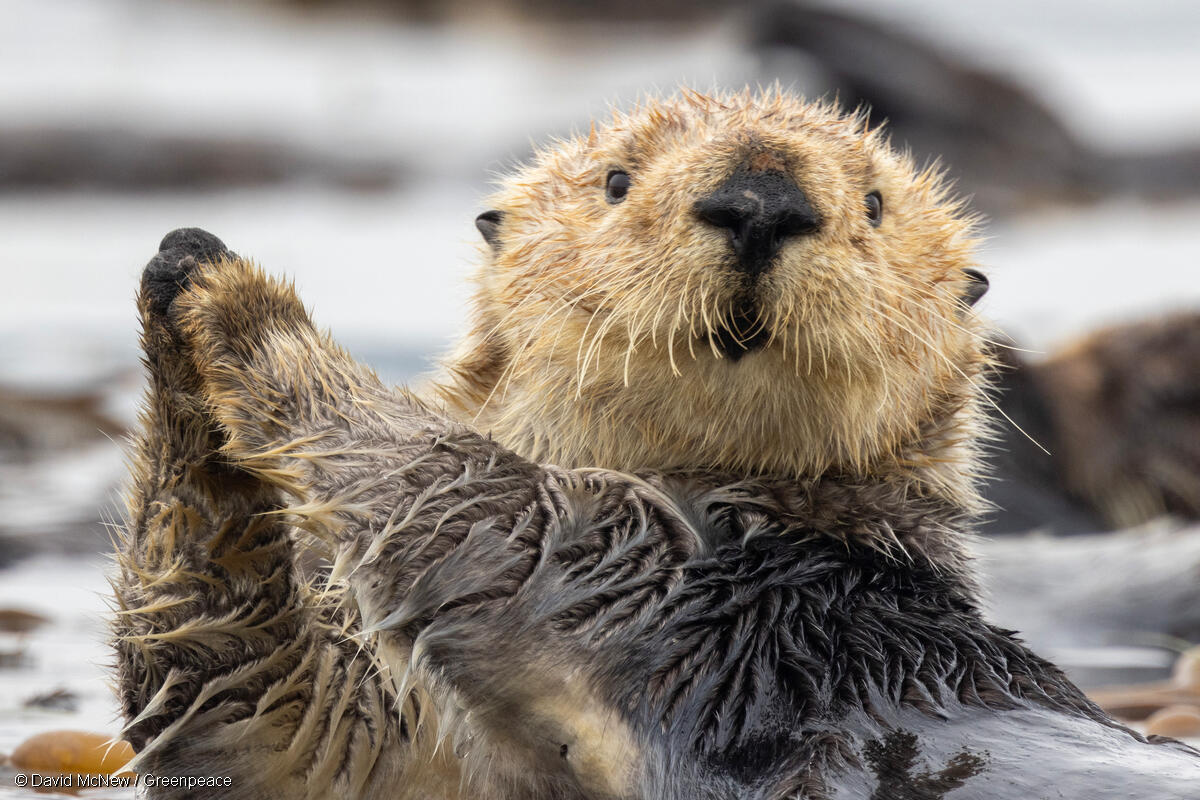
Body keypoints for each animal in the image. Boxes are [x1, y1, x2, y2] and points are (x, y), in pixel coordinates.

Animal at [110, 90, 1200, 796]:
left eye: (876, 205)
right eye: (615, 181)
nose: (762, 197)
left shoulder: (636, 582)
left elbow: (467, 498)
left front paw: (238, 300)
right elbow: (267, 724)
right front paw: (180, 288)